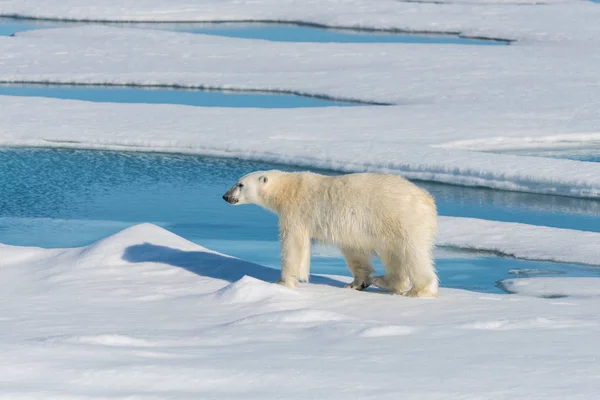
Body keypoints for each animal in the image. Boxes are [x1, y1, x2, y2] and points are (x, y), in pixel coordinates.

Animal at [223, 169, 438, 296]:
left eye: (240, 184)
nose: (225, 196)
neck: (288, 187)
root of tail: (427, 199)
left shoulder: (296, 211)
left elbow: (294, 244)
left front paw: (282, 282)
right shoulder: (351, 229)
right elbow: (355, 251)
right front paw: (357, 283)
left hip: (402, 218)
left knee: (412, 254)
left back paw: (417, 290)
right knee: (393, 255)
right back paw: (384, 281)